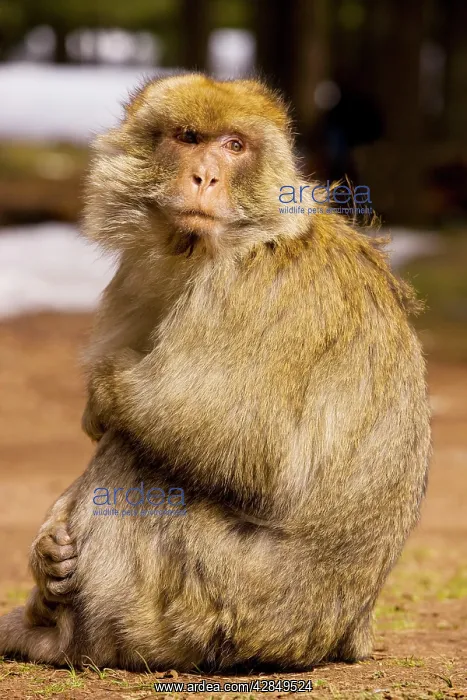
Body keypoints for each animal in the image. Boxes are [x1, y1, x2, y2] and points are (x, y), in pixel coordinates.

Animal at [0, 73, 431, 671]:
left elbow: (252, 448)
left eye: (233, 146)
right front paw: (46, 553)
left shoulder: (253, 289)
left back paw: (62, 639)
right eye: (188, 137)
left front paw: (103, 392)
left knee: (135, 455)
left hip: (228, 599)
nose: (205, 176)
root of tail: (342, 635)